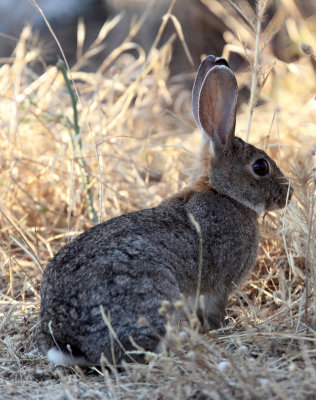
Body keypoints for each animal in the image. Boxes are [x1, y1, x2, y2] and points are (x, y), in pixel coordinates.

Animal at [38, 54, 292, 368]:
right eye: (260, 166)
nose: (288, 194)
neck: (224, 193)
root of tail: (68, 341)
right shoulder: (218, 287)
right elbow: (214, 313)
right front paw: (222, 328)